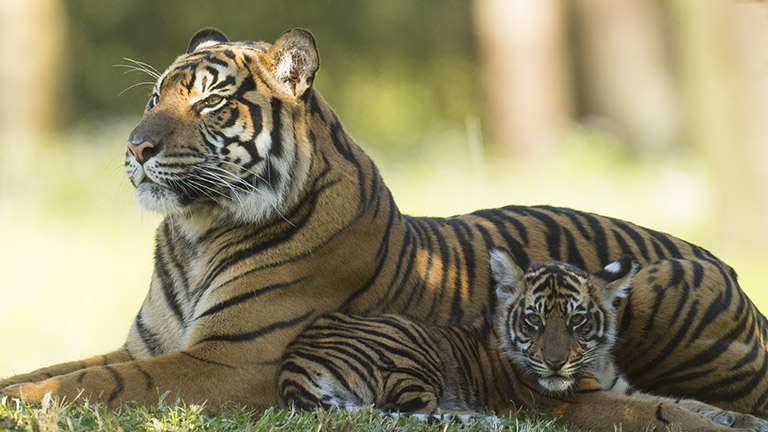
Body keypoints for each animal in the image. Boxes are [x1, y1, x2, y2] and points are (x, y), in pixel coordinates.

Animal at [1, 27, 768, 418]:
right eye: (156, 96)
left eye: (212, 102)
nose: (134, 148)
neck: (194, 231)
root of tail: (724, 261)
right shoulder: (147, 345)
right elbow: (57, 367)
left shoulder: (231, 362)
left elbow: (93, 384)